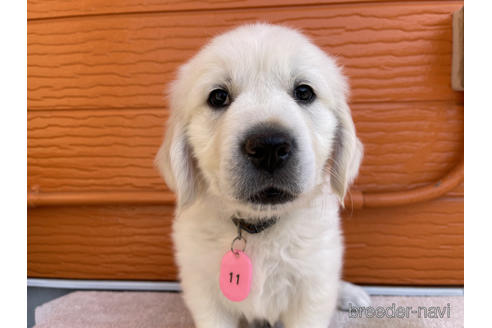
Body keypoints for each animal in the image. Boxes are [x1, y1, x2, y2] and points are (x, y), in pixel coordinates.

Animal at [157, 23, 368, 328]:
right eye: (218, 97)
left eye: (304, 92)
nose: (269, 147)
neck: (257, 228)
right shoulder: (204, 291)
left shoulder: (312, 290)